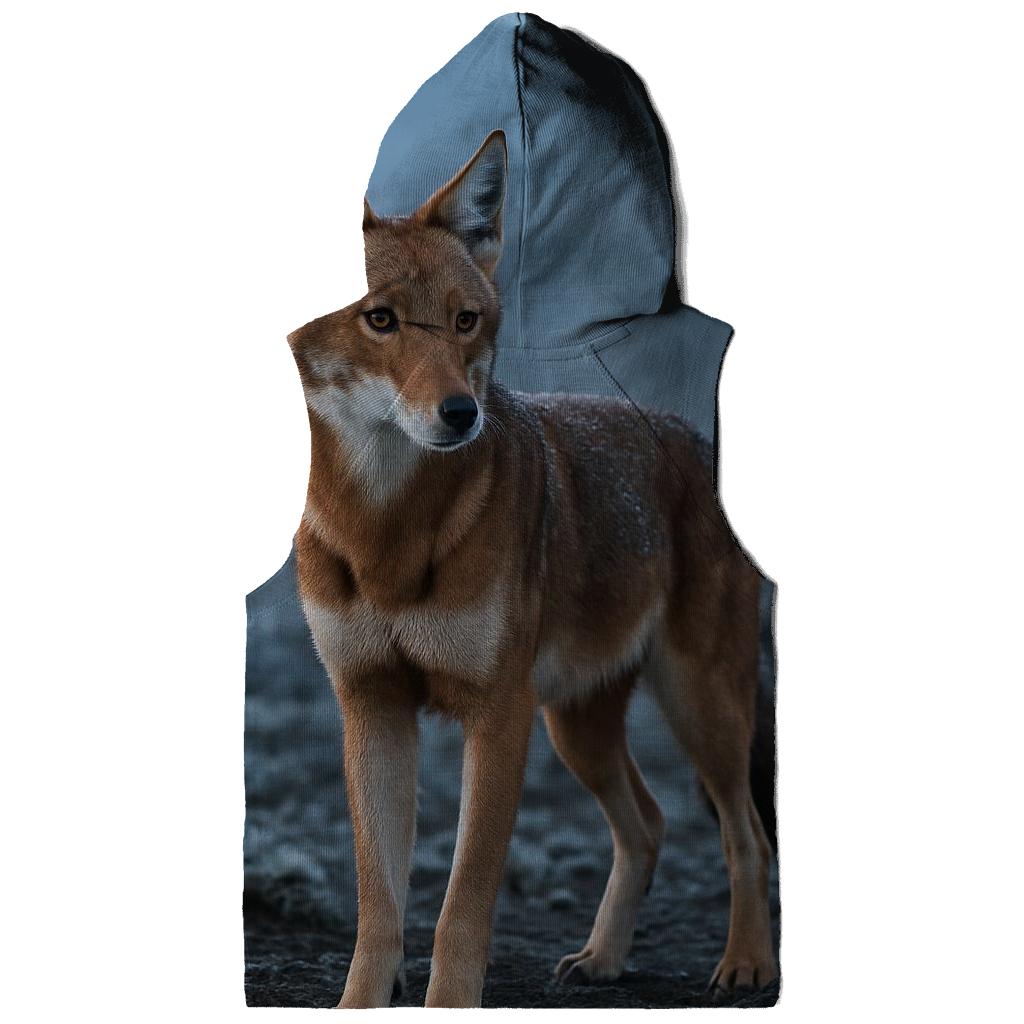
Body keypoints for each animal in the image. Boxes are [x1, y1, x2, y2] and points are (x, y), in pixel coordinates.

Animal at [287, 129, 777, 1008]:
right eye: (381, 320)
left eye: (465, 321)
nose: (462, 414)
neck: (385, 534)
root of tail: (694, 438)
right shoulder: (371, 709)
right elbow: (379, 905)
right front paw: (360, 1003)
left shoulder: (497, 714)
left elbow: (462, 903)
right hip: (577, 725)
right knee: (649, 824)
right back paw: (604, 958)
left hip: (698, 708)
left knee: (744, 833)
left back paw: (747, 964)